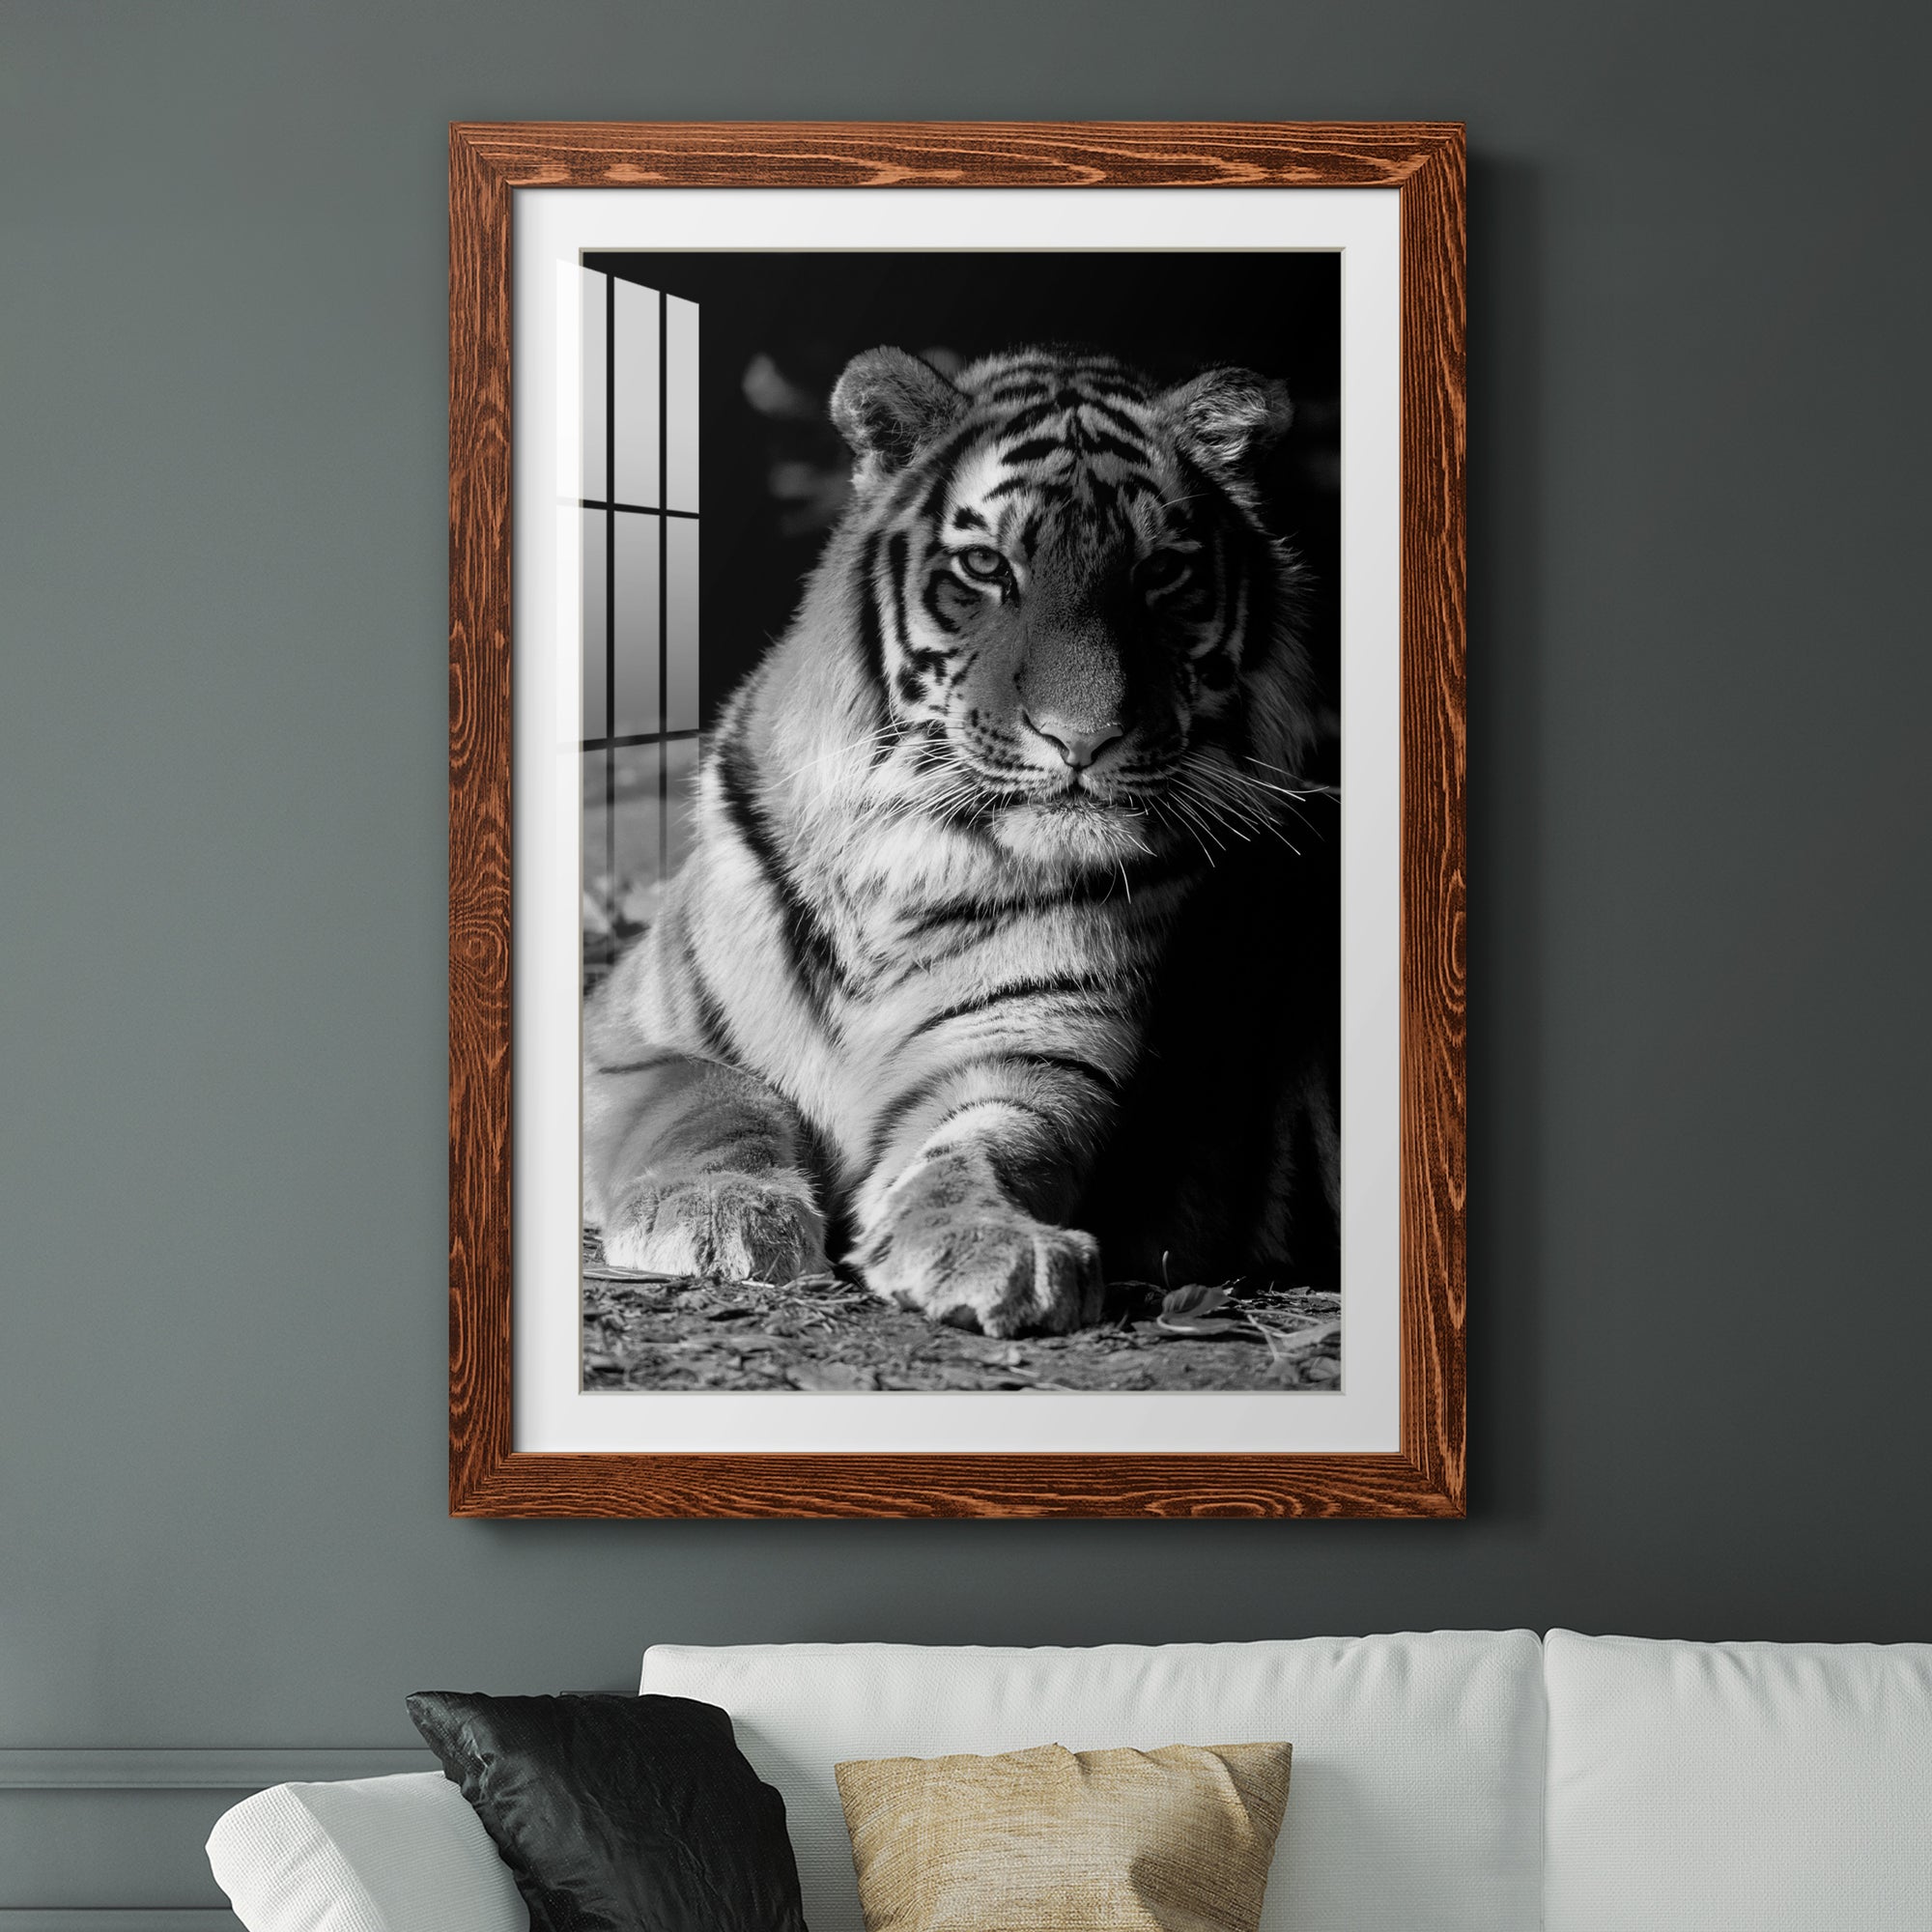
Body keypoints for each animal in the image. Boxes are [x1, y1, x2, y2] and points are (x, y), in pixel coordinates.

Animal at [582, 343, 1338, 1339]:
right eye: (986, 566)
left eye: (1160, 574)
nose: (1083, 739)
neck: (907, 860)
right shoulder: (627, 1033)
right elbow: (714, 1099)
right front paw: (717, 1214)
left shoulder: (1033, 1057)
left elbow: (986, 1147)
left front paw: (993, 1245)